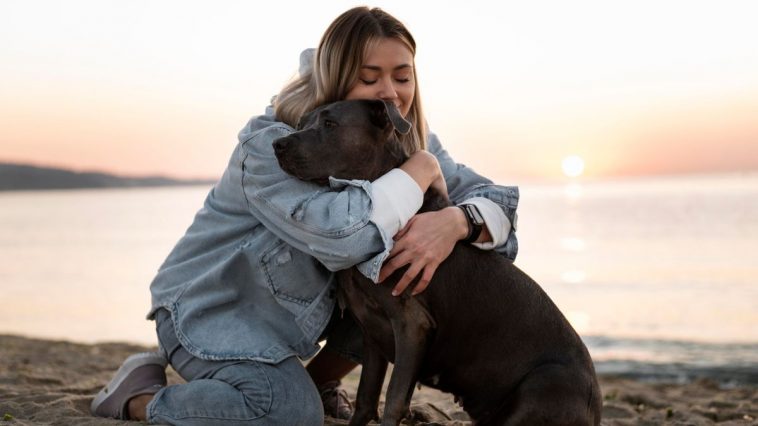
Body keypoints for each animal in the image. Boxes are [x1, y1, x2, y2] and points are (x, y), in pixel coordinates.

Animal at [276, 98, 604, 424]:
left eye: (330, 124)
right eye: (302, 122)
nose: (277, 144)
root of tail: (596, 406)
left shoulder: (412, 326)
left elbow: (394, 399)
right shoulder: (372, 334)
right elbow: (366, 398)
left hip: (540, 386)